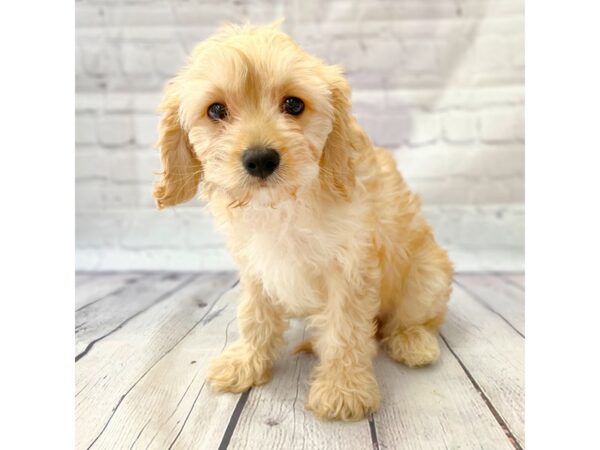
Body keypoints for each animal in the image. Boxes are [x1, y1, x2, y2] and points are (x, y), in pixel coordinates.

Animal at [152, 22, 452, 422]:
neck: (282, 204)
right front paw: (246, 363)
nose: (261, 159)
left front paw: (343, 389)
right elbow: (254, 316)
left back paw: (413, 341)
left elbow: (344, 330)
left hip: (428, 277)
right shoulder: (256, 265)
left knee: (416, 319)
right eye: (216, 110)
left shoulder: (350, 267)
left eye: (294, 104)